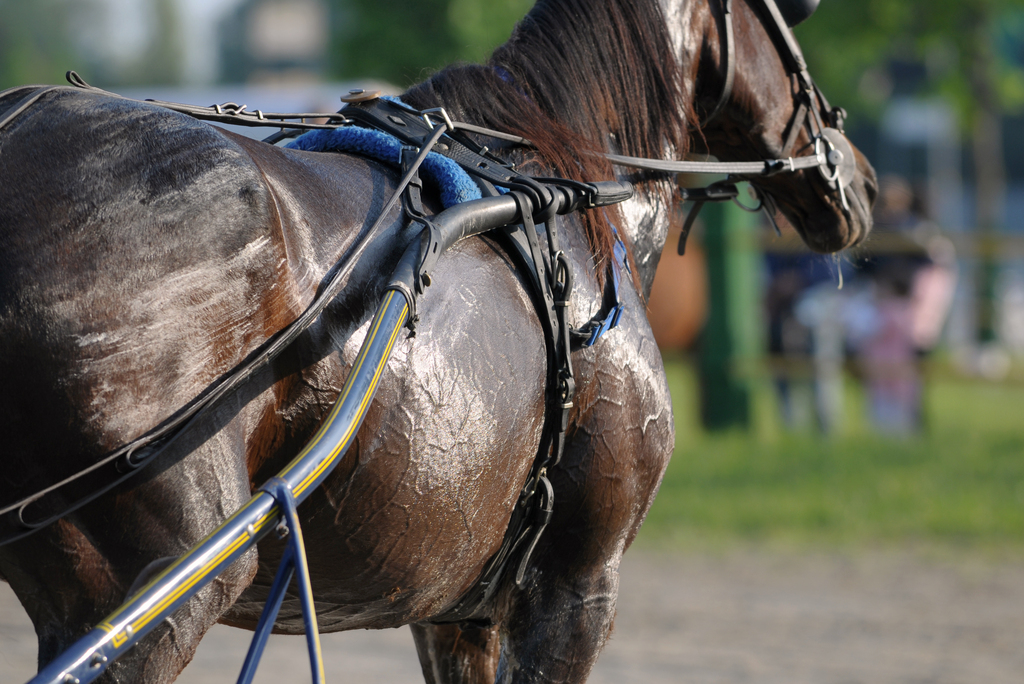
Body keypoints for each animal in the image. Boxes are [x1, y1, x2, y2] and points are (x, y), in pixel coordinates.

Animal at [0, 0, 876, 679]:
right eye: (794, 17)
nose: (859, 177)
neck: (556, 186)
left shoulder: (459, 610)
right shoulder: (576, 587)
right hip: (155, 591)